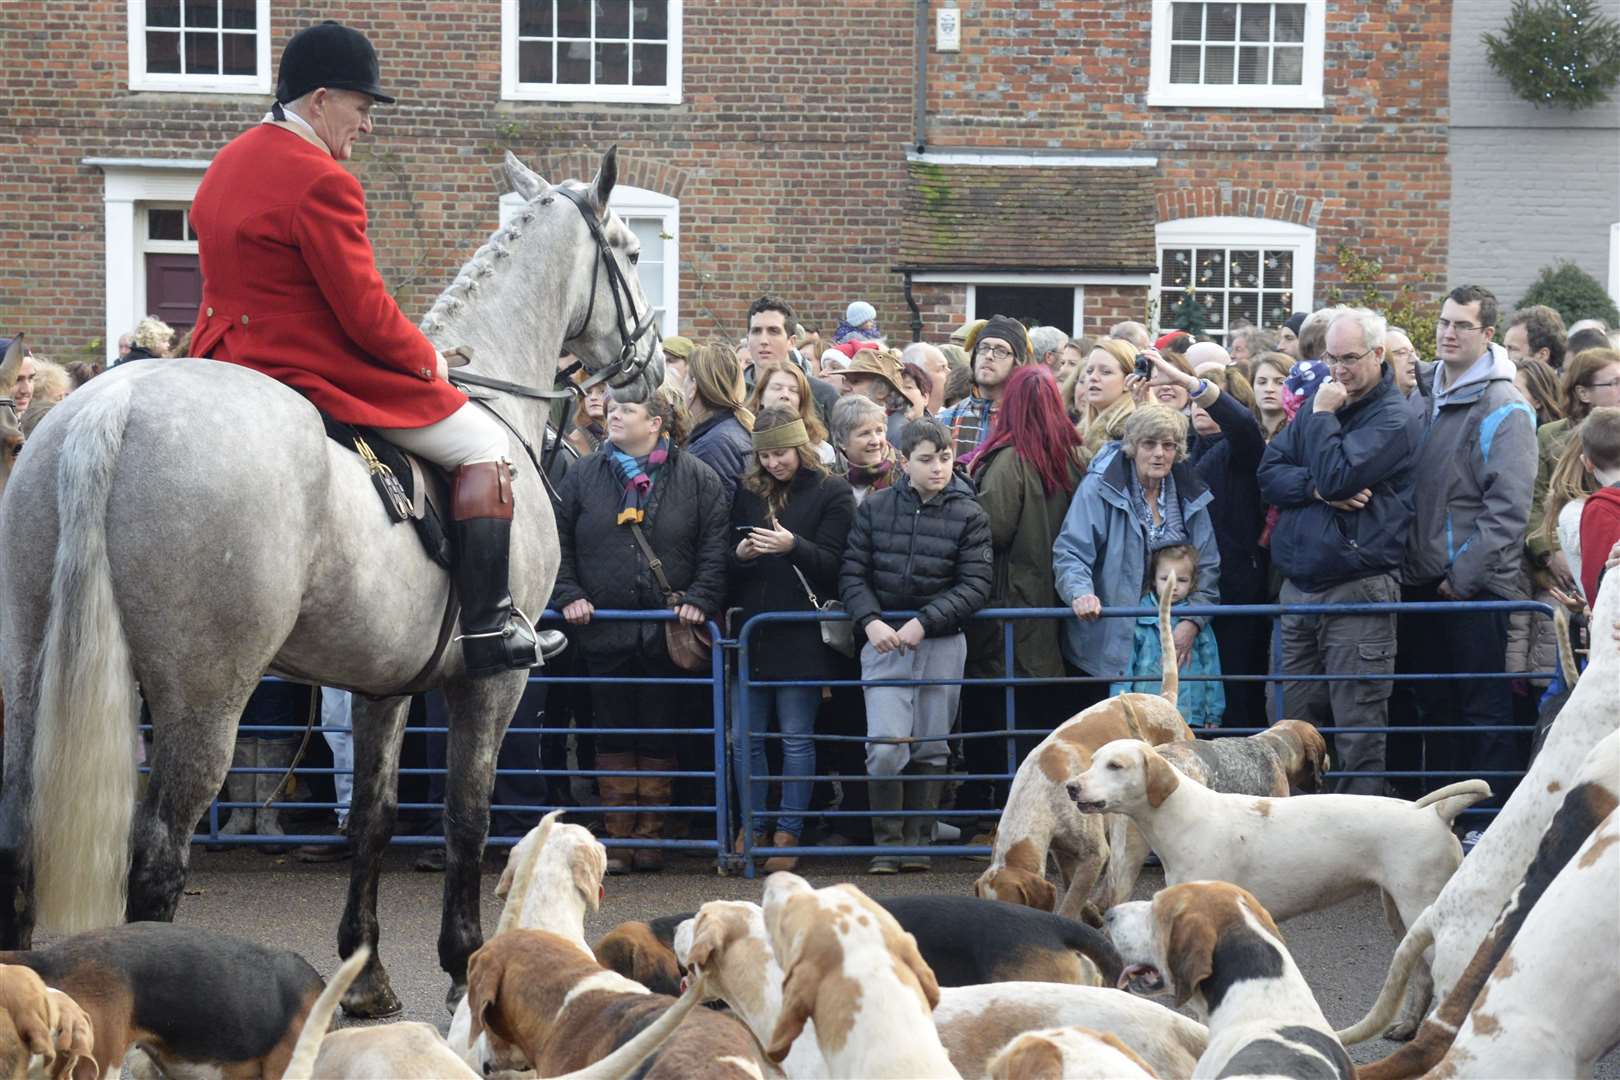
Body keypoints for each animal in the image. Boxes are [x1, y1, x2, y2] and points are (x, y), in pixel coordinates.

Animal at [0, 148, 660, 1016]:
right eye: (632, 250)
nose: (654, 365)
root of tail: (109, 405)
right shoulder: (492, 684)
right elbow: (466, 816)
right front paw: (463, 962)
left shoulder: (384, 681)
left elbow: (372, 819)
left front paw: (367, 975)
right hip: (203, 694)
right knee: (158, 860)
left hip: (32, 665)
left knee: (17, 837)